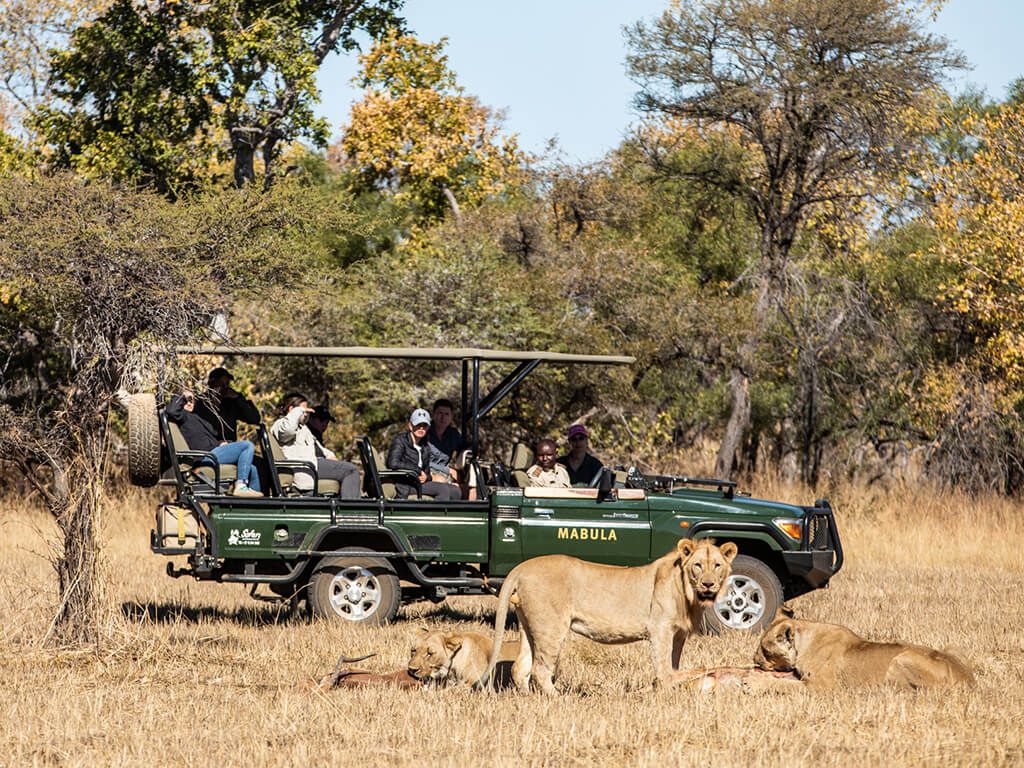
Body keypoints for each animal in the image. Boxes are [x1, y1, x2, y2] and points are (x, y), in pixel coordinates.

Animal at [485, 538, 738, 693]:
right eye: (697, 565)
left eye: (717, 565)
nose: (708, 584)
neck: (689, 594)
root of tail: (521, 567)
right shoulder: (661, 629)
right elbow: (664, 667)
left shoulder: (678, 634)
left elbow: (673, 664)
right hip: (551, 626)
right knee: (540, 669)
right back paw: (559, 698)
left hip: (529, 625)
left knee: (520, 667)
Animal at [754, 618, 975, 689]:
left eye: (765, 651)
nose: (754, 660)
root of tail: (968, 680)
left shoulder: (821, 687)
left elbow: (785, 685)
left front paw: (756, 683)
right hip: (951, 646)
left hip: (901, 658)